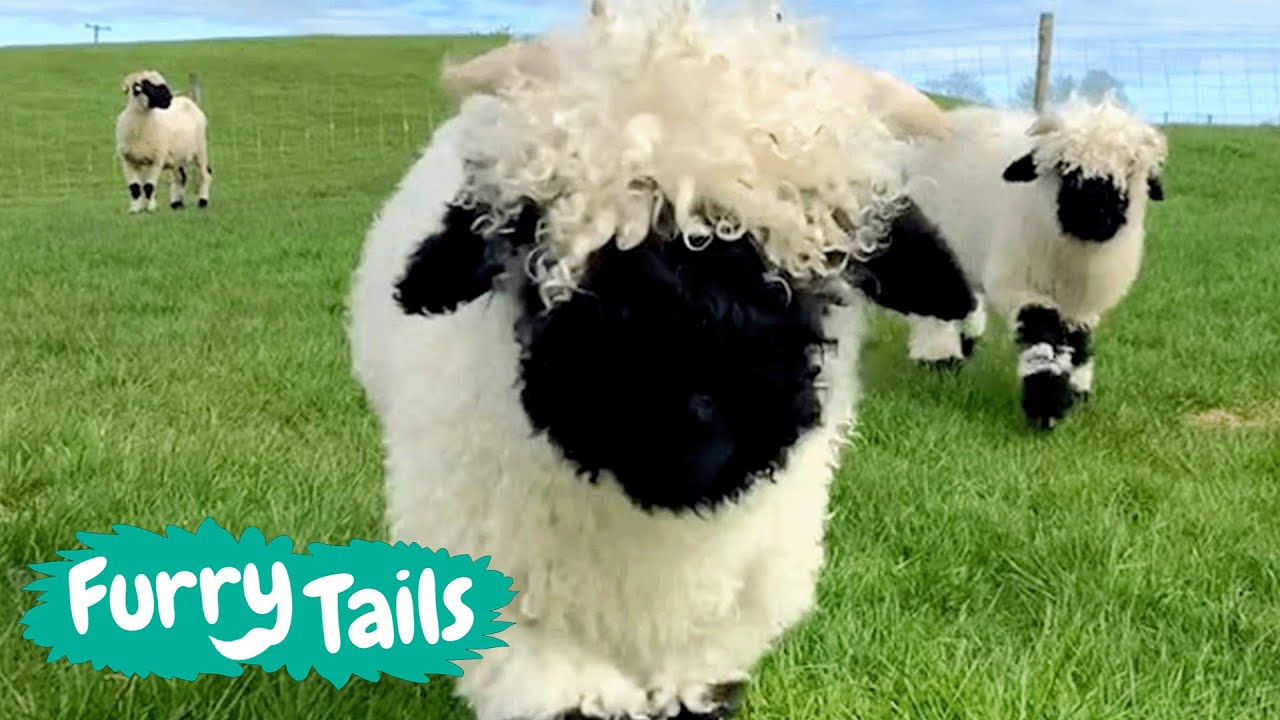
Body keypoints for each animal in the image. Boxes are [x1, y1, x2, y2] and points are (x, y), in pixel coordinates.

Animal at [115, 69, 212, 213]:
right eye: (148, 86)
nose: (169, 98)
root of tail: (187, 101)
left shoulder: (157, 159)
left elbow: (148, 186)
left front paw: (150, 208)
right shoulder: (128, 160)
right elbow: (136, 188)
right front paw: (135, 209)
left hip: (200, 150)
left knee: (204, 175)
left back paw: (203, 202)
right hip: (178, 157)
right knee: (181, 178)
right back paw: (177, 204)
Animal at [901, 93, 1169, 429]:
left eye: (1130, 172)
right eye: (1064, 168)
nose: (1093, 216)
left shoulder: (1082, 305)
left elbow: (1079, 345)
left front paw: (1075, 392)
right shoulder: (1019, 285)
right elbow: (1043, 335)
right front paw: (1046, 405)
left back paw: (966, 341)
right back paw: (939, 358)